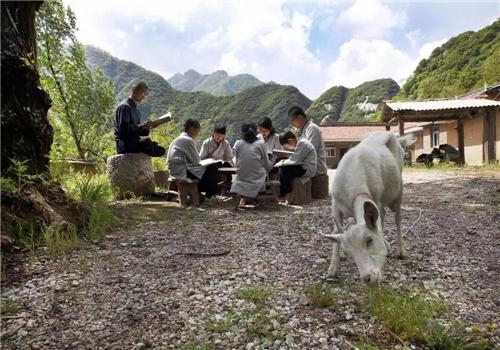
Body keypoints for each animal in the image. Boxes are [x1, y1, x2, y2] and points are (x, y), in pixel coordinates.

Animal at [322, 131, 416, 284]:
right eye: (349, 251)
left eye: (369, 240)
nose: (368, 278)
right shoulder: (335, 204)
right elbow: (337, 229)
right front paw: (333, 268)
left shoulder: (375, 196)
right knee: (382, 213)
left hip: (399, 186)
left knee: (397, 217)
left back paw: (400, 251)